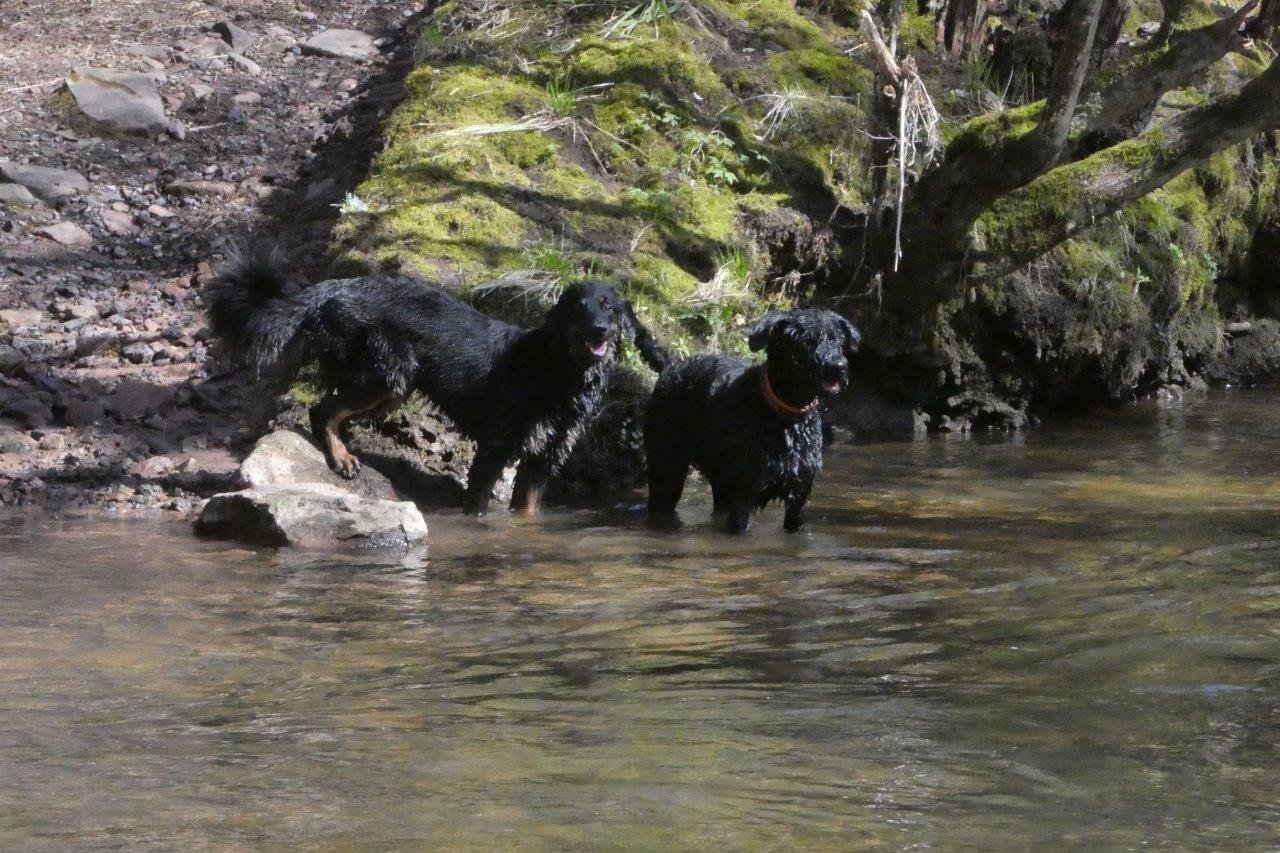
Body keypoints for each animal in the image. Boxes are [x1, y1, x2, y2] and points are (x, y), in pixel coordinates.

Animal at [203, 250, 666, 516]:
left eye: (608, 307)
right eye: (578, 308)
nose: (601, 330)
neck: (560, 373)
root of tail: (331, 288)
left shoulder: (544, 460)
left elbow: (526, 512)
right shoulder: (496, 448)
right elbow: (477, 508)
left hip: (393, 386)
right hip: (388, 372)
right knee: (322, 410)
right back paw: (342, 457)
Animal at [644, 308, 859, 534]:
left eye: (838, 340)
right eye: (807, 340)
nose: (839, 366)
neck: (785, 417)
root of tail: (672, 365)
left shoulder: (799, 496)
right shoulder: (744, 495)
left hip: (719, 482)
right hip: (667, 470)